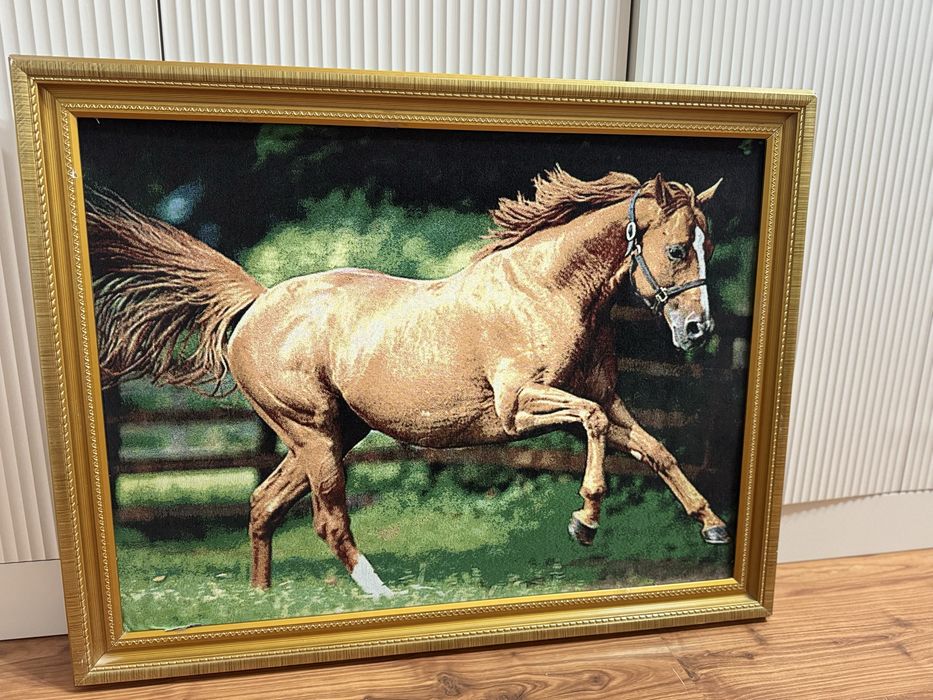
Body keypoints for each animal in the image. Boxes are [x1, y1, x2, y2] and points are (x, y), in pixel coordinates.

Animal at [87, 168, 729, 598]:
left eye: (708, 246)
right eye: (677, 248)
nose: (698, 330)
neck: (547, 292)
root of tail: (259, 303)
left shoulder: (607, 399)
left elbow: (657, 451)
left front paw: (712, 526)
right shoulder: (521, 407)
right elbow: (593, 429)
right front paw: (585, 521)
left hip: (335, 434)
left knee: (263, 503)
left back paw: (262, 601)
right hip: (313, 434)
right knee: (327, 519)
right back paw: (380, 594)